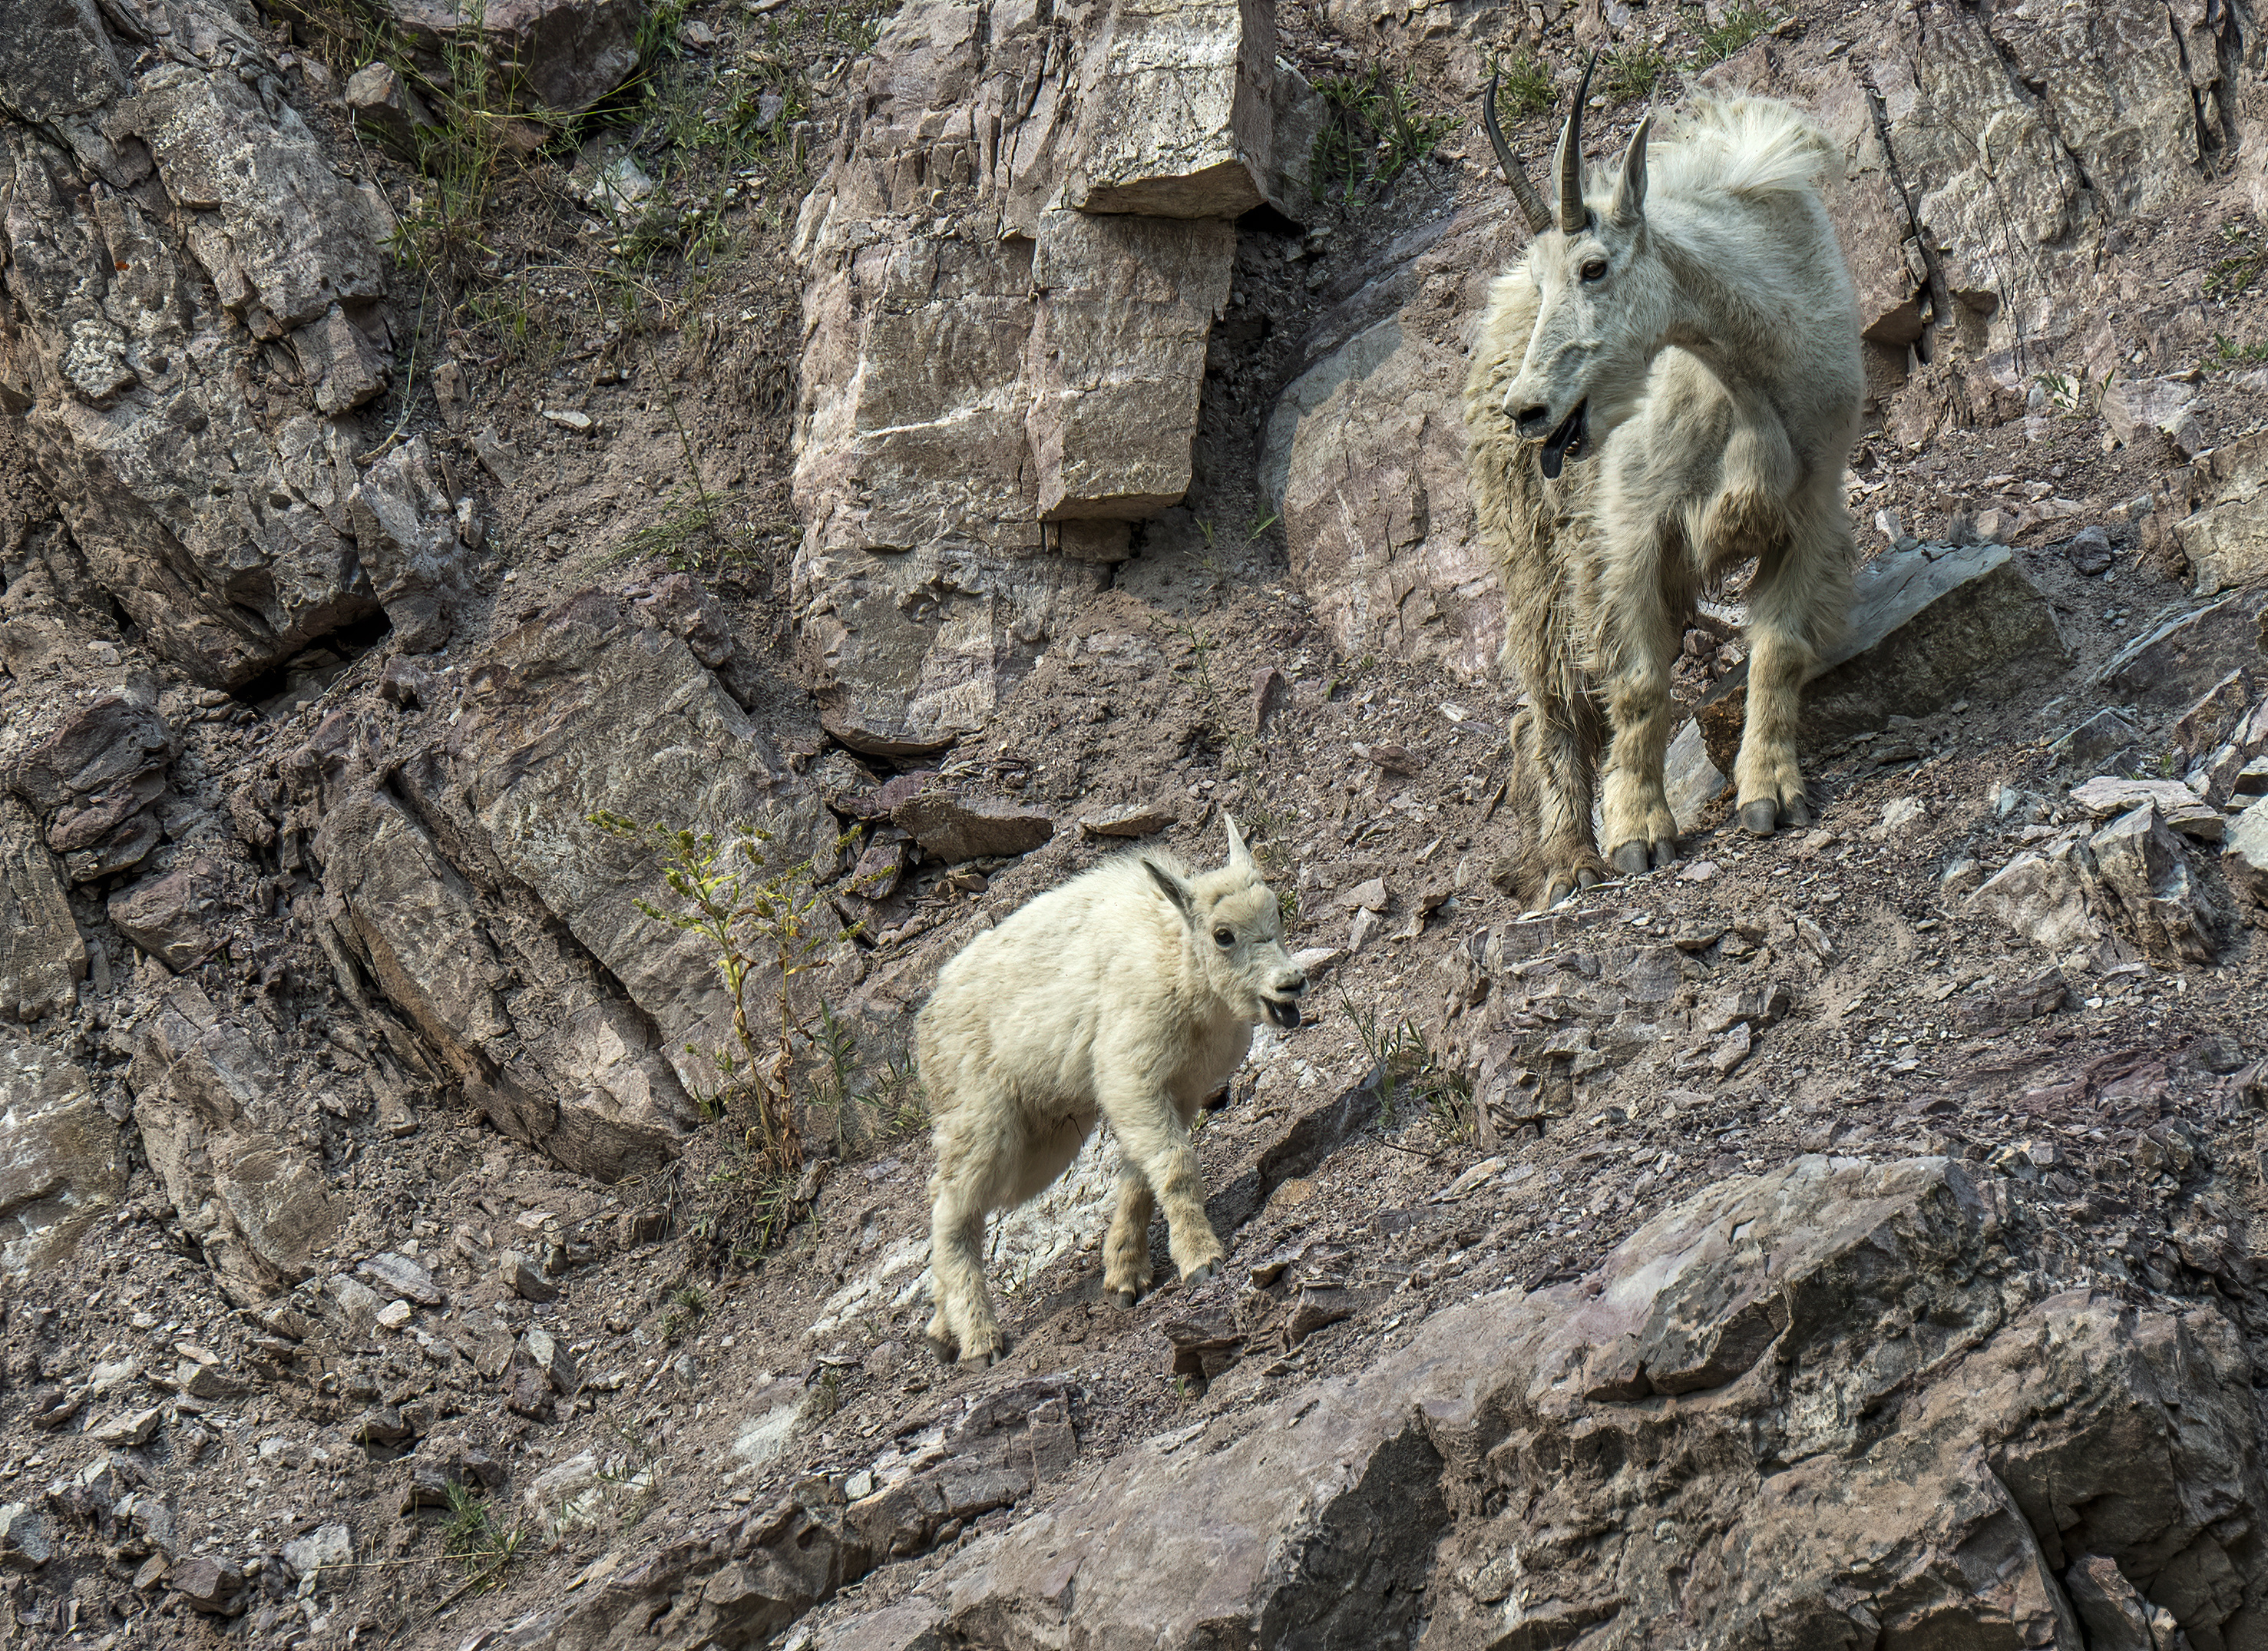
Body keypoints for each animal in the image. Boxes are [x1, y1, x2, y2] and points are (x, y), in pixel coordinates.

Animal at [917, 817, 1307, 1366]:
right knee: (952, 1211)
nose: (1291, 985)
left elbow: (1140, 1178)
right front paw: (1201, 1260)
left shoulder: (1174, 1091)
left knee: (947, 1203)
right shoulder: (1131, 1076)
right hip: (983, 1122)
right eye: (1223, 935)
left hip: (1043, 1136)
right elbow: (1176, 1165)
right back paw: (978, 1340)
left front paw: (1124, 1277)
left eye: (1277, 911)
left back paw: (941, 1331)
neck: (1179, 966)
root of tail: (924, 1023)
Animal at [1464, 61, 1863, 908]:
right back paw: (1567, 859)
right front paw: (1637, 835)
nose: (1528, 409)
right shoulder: (1629, 533)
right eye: (1552, 283)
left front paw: (1769, 793)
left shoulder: (1810, 512)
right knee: (1548, 698)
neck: (1745, 375)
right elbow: (1640, 686)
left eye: (1593, 267)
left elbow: (1778, 651)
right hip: (1533, 554)